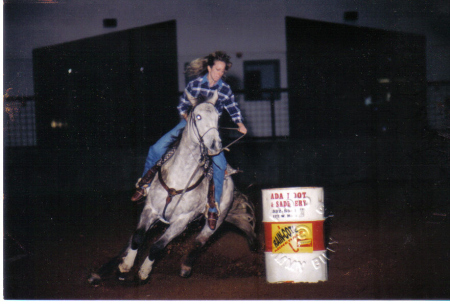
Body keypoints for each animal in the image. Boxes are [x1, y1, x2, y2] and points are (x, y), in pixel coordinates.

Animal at [88, 89, 256, 284]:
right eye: (198, 116)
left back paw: (185, 267)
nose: (215, 145)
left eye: (217, 117)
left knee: (200, 241)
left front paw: (143, 272)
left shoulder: (181, 221)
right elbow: (137, 238)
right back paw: (101, 272)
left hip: (216, 219)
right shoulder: (150, 209)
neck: (179, 178)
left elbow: (157, 246)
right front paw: (125, 267)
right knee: (130, 241)